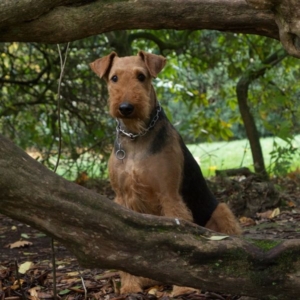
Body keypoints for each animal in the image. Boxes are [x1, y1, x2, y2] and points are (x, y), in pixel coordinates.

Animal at [89, 51, 241, 296]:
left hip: (222, 211)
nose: (126, 107)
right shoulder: (123, 199)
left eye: (141, 76)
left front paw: (183, 288)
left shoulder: (169, 195)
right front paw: (130, 286)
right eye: (114, 78)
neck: (137, 135)